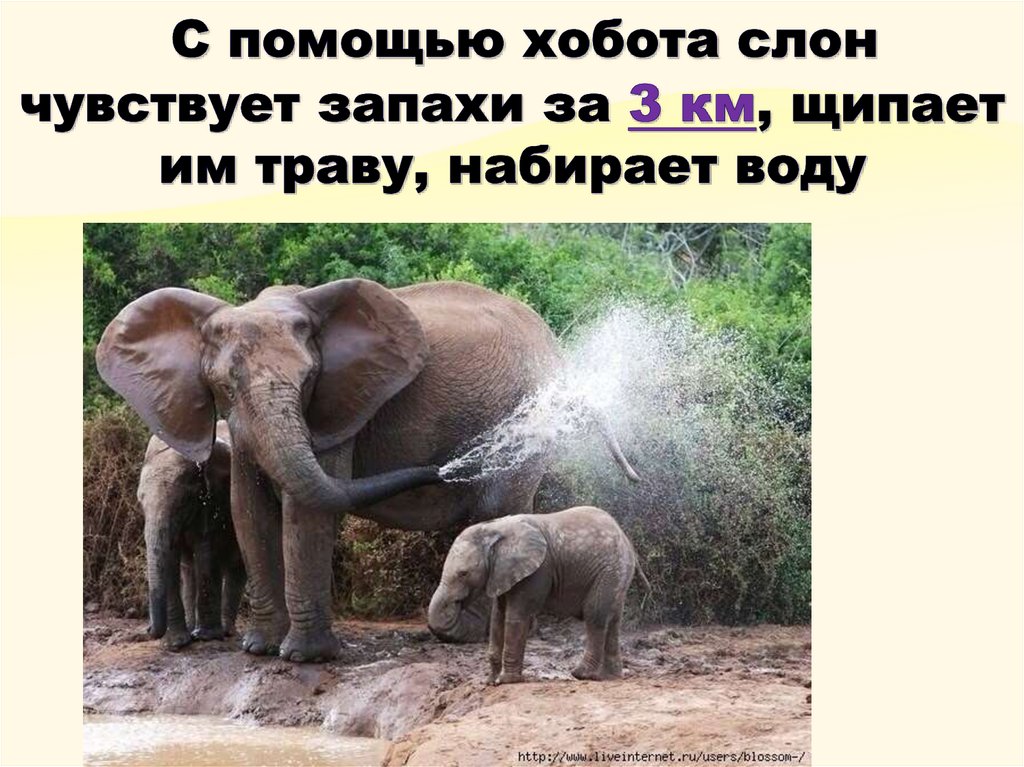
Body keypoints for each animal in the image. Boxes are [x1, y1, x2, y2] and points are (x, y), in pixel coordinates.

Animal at [138, 421, 246, 650]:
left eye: (182, 501)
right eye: (140, 503)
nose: (148, 629)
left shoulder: (213, 498)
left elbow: (205, 549)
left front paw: (207, 637)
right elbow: (171, 558)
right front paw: (176, 644)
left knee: (235, 566)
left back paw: (225, 631)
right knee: (189, 570)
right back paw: (192, 628)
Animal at [428, 506, 649, 683]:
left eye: (463, 573)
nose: (455, 605)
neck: (495, 528)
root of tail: (626, 538)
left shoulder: (537, 570)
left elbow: (516, 616)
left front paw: (507, 681)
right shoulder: (502, 573)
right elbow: (498, 617)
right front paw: (490, 682)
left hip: (609, 569)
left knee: (595, 615)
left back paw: (581, 674)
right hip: (617, 572)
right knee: (613, 620)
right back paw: (610, 677)